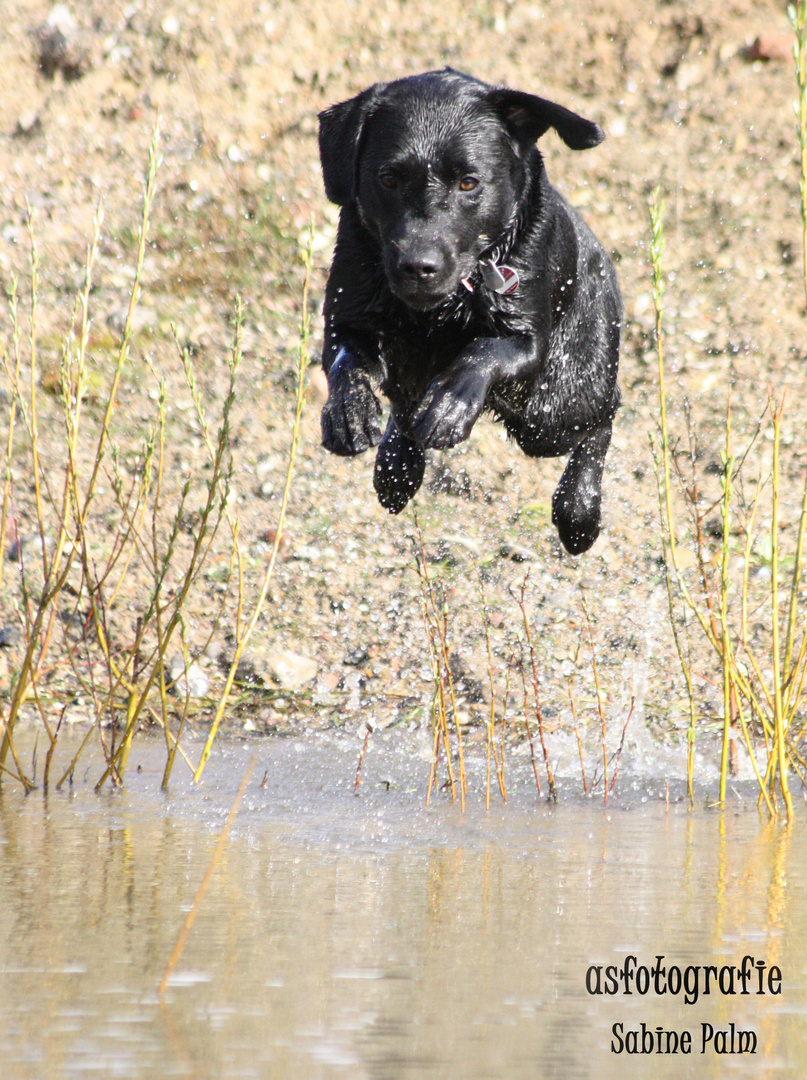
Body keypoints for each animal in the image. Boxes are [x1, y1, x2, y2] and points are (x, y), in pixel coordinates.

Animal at [319, 67, 622, 552]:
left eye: (468, 182)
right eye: (388, 178)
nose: (418, 266)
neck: (439, 311)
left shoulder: (525, 339)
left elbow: (482, 352)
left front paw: (450, 405)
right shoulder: (347, 316)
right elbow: (346, 362)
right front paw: (350, 413)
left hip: (551, 412)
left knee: (602, 416)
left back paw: (580, 509)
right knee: (404, 406)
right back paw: (398, 464)